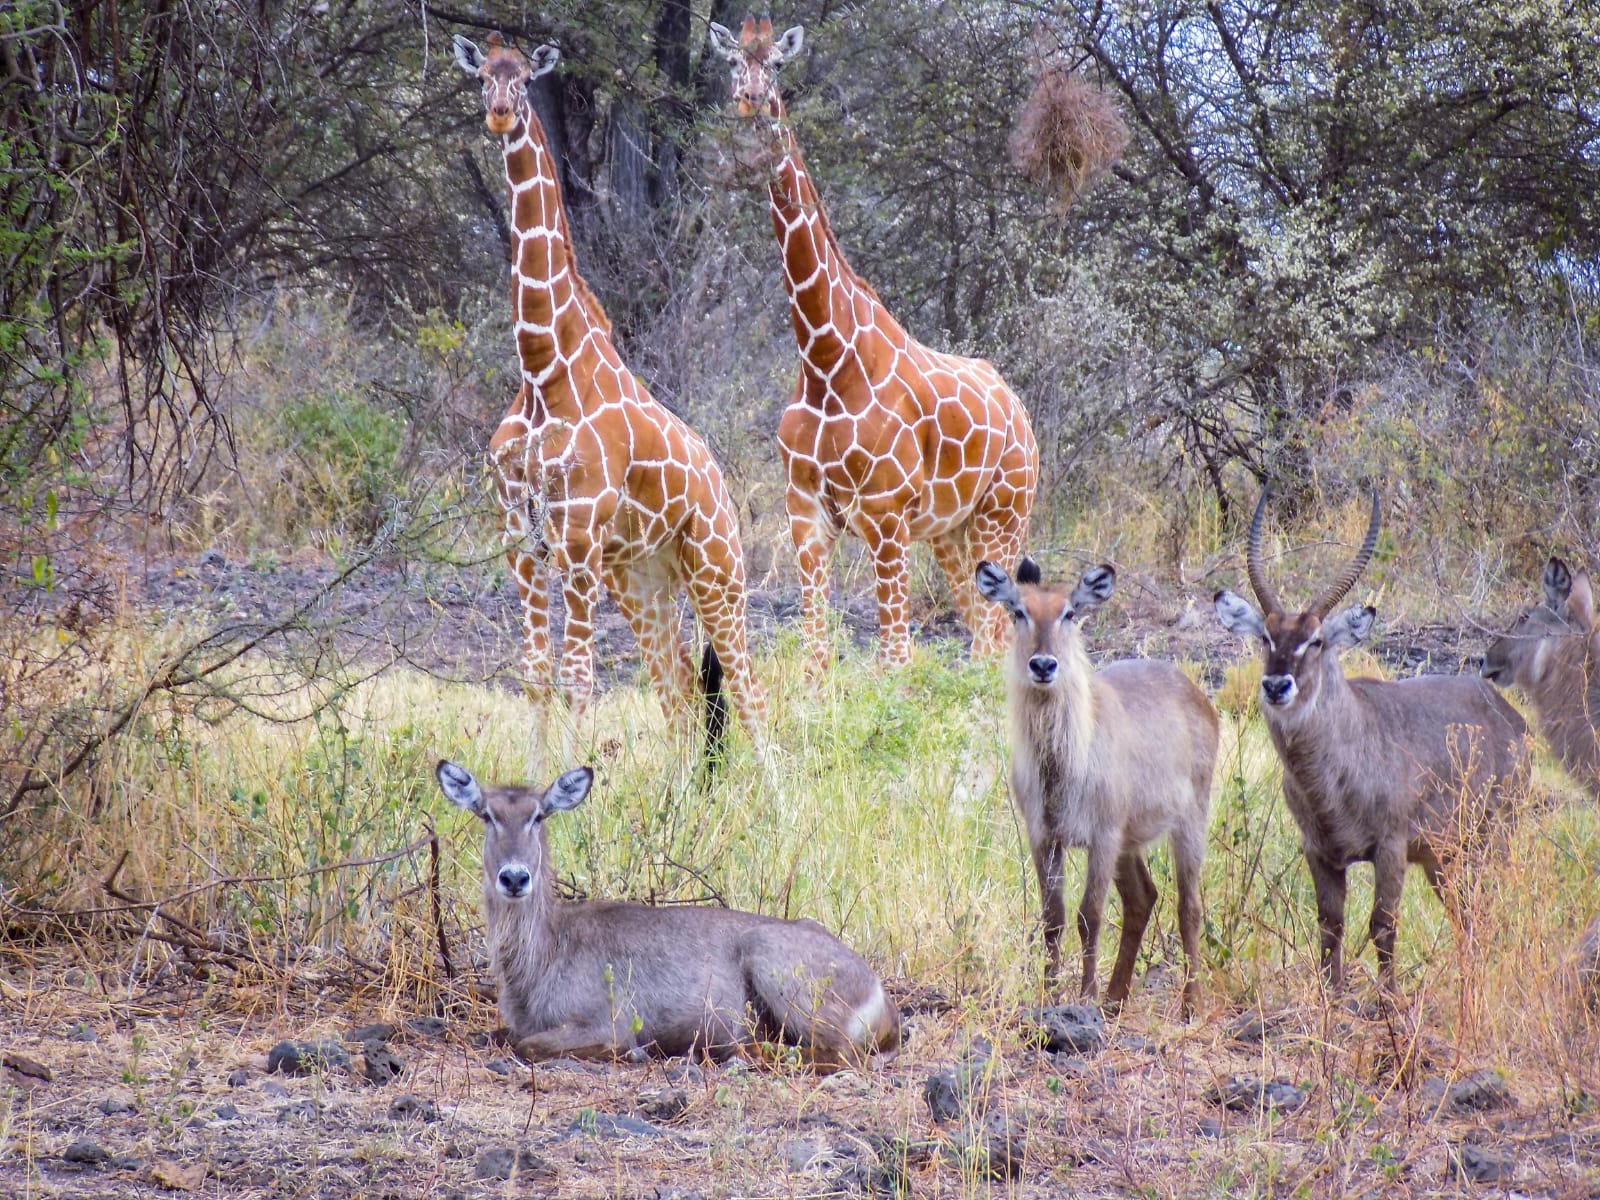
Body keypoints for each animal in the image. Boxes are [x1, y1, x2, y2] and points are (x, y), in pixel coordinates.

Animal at [454, 35, 764, 742]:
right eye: (482, 76)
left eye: (524, 78)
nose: (500, 114)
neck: (543, 370)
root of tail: (721, 484)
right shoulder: (521, 539)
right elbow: (536, 676)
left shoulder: (577, 541)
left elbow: (578, 680)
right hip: (643, 577)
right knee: (678, 689)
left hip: (716, 565)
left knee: (748, 687)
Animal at [710, 14, 1036, 681]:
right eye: (733, 62)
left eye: (776, 64)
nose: (750, 100)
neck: (825, 360)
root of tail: (1021, 413)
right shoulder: (805, 513)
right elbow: (815, 656)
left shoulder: (887, 516)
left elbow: (894, 662)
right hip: (950, 532)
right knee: (980, 638)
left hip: (1003, 516)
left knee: (993, 646)